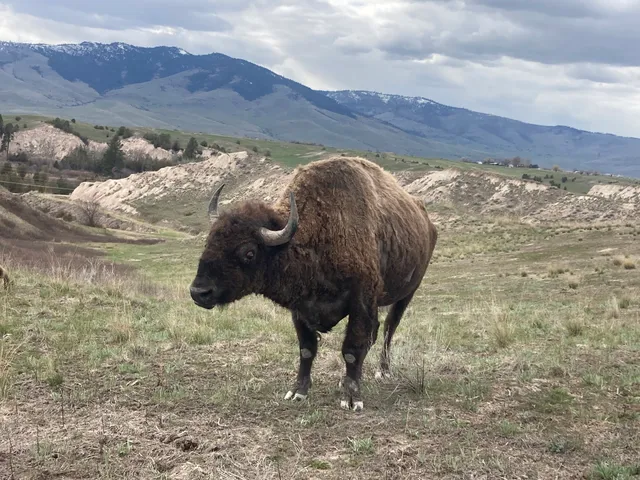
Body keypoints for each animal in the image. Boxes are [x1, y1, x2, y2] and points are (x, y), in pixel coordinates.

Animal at [190, 156, 437, 411]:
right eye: (209, 241)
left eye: (249, 252)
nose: (199, 292)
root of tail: (428, 223)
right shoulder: (301, 308)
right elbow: (307, 349)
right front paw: (298, 392)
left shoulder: (361, 301)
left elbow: (351, 349)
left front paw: (352, 399)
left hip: (407, 293)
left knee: (389, 328)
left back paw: (383, 372)